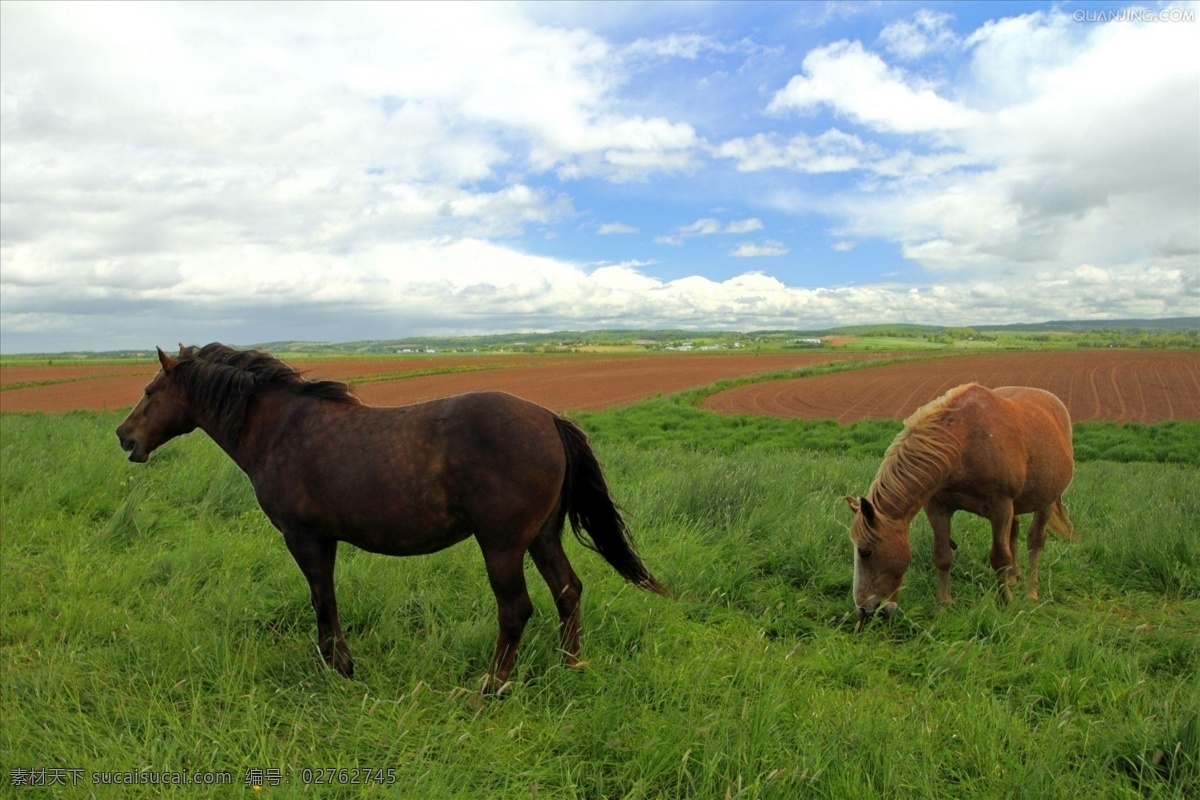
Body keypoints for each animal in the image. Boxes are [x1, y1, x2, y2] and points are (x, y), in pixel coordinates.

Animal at [117, 345, 667, 695]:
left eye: (149, 389)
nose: (124, 437)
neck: (281, 429)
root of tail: (549, 418)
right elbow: (326, 599)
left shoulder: (305, 538)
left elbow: (322, 600)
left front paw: (338, 667)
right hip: (542, 536)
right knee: (567, 592)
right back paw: (571, 666)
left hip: (503, 544)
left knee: (515, 610)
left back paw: (491, 687)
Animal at [844, 383, 1080, 623]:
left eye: (865, 552)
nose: (864, 610)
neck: (963, 443)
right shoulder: (938, 507)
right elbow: (942, 556)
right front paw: (943, 605)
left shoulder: (1001, 508)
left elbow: (999, 557)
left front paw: (1006, 602)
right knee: (1014, 534)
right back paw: (1014, 576)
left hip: (1046, 501)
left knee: (1035, 542)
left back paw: (1031, 592)